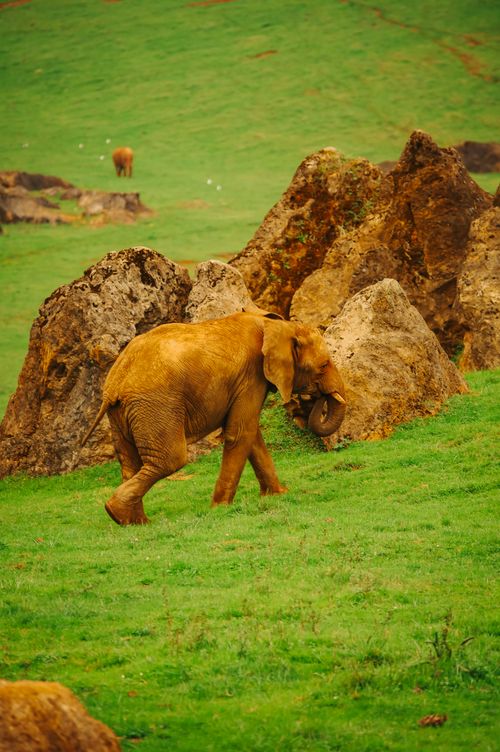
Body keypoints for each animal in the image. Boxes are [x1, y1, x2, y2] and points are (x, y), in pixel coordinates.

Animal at [82, 311, 346, 525]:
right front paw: (220, 508)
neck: (278, 326)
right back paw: (117, 512)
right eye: (323, 365)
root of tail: (115, 383)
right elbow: (241, 432)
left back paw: (132, 521)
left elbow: (252, 434)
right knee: (170, 460)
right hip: (155, 405)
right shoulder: (251, 376)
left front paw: (279, 494)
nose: (317, 397)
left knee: (131, 462)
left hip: (122, 413)